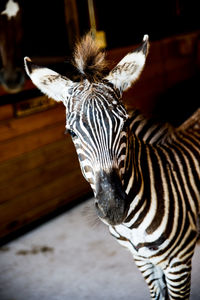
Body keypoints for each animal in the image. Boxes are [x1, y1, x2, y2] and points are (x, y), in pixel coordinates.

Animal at [24, 33, 199, 300]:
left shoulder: (178, 264)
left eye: (125, 124)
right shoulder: (142, 261)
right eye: (71, 133)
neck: (131, 226)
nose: (113, 207)